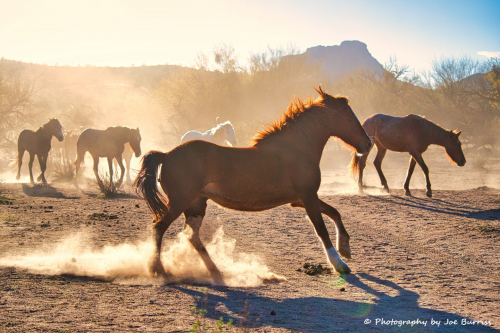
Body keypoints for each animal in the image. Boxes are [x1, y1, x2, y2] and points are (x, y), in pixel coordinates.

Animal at [135, 87, 374, 282]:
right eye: (348, 116)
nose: (368, 143)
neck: (296, 149)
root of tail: (166, 155)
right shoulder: (307, 197)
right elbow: (322, 230)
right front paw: (340, 264)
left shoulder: (299, 200)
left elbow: (334, 212)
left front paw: (345, 248)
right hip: (180, 202)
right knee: (159, 228)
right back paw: (158, 270)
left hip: (196, 205)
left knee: (191, 237)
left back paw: (215, 271)